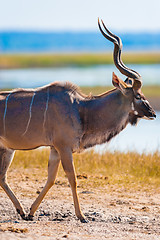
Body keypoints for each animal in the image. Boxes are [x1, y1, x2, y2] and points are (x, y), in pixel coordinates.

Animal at [0, 19, 156, 223]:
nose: (153, 113)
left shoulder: (55, 148)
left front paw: (31, 212)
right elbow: (72, 178)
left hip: (7, 149)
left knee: (2, 177)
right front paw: (81, 216)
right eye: (138, 96)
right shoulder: (64, 147)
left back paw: (20, 210)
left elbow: (51, 179)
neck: (81, 109)